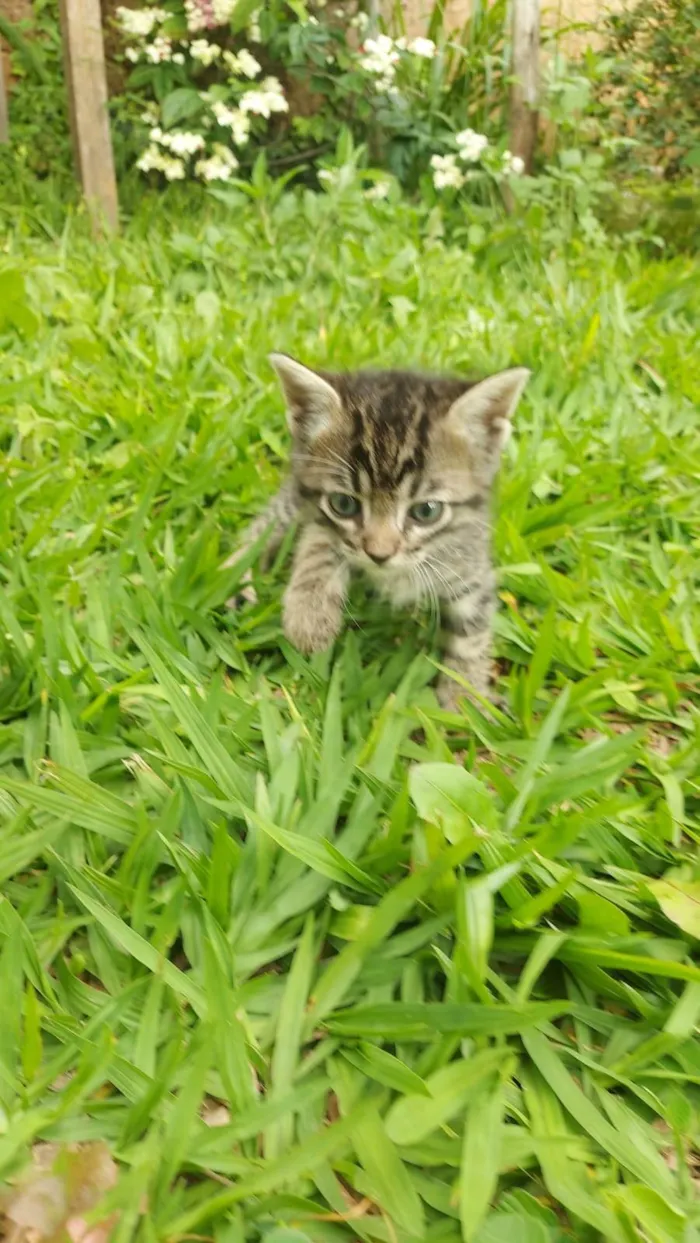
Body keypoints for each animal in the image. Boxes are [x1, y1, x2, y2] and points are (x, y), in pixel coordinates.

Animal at [226, 357, 532, 710]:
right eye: (343, 504)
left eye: (427, 511)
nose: (379, 554)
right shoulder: (317, 509)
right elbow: (320, 540)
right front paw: (309, 615)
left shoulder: (469, 559)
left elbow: (472, 633)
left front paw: (464, 698)